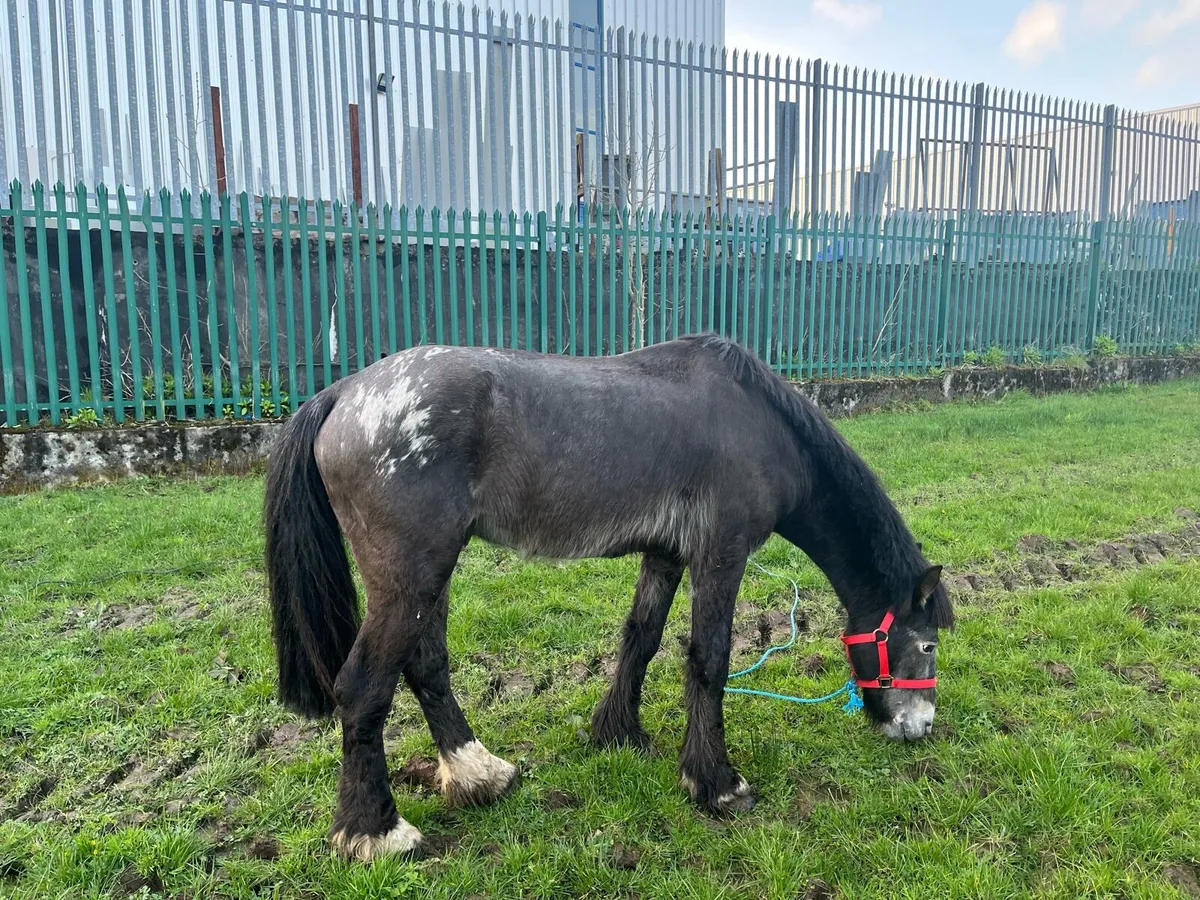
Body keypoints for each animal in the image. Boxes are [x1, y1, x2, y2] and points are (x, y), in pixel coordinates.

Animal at [263, 333, 954, 862]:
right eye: (925, 644)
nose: (919, 726)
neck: (757, 424)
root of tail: (341, 395)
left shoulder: (666, 555)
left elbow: (641, 638)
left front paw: (617, 731)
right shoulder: (720, 556)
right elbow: (709, 660)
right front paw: (715, 782)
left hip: (428, 576)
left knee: (427, 667)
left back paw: (480, 774)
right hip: (410, 575)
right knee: (363, 688)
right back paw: (377, 833)